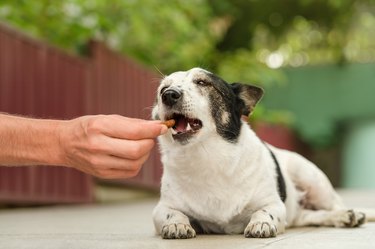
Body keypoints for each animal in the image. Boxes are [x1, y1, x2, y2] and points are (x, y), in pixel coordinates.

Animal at [151, 67, 374, 238]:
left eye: (202, 82)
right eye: (162, 89)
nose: (169, 94)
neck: (207, 157)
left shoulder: (274, 204)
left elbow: (264, 212)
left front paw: (261, 223)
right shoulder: (161, 208)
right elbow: (173, 214)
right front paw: (176, 224)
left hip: (312, 180)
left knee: (335, 205)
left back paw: (350, 214)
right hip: (298, 210)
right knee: (309, 216)